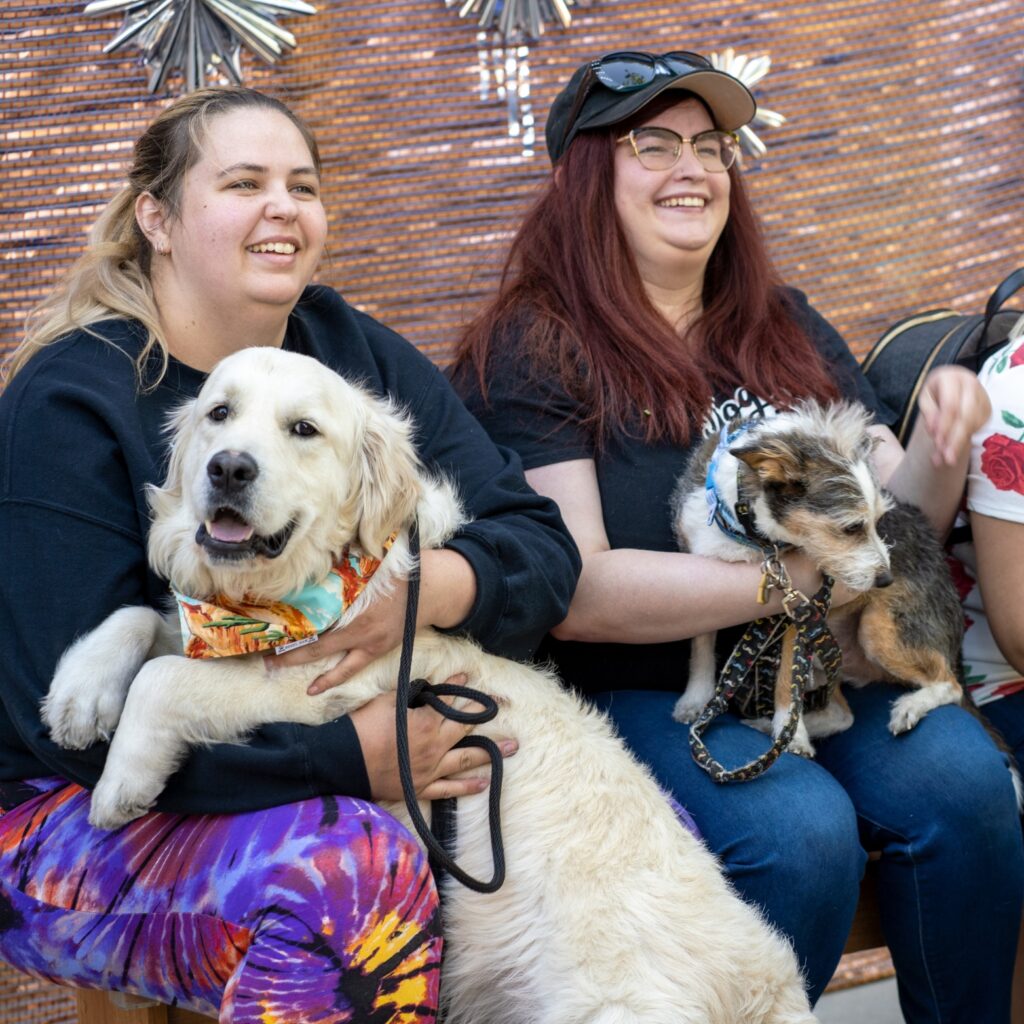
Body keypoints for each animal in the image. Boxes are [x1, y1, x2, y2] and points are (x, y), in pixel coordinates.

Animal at [671, 397, 966, 753]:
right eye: (852, 527)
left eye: (880, 520)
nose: (885, 580)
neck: (756, 539)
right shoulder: (701, 564)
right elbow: (701, 649)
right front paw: (696, 700)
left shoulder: (798, 606)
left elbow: (788, 679)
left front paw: (793, 734)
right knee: (842, 714)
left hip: (878, 626)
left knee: (950, 685)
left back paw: (908, 706)